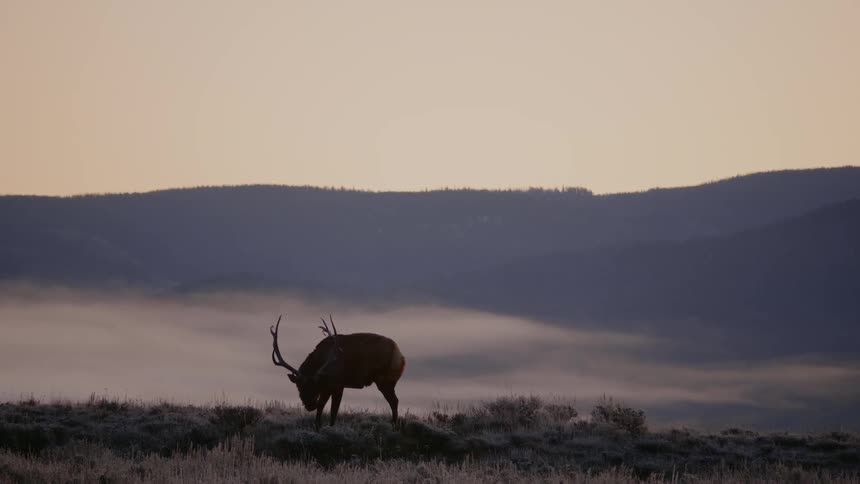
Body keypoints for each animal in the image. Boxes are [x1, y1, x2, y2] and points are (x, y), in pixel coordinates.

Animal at [269, 314, 406, 430]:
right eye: (299, 386)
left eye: (315, 386)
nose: (310, 405)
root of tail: (402, 358)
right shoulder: (327, 388)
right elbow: (322, 410)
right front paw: (318, 427)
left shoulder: (337, 385)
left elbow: (332, 412)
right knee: (394, 401)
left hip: (385, 380)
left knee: (394, 401)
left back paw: (394, 426)